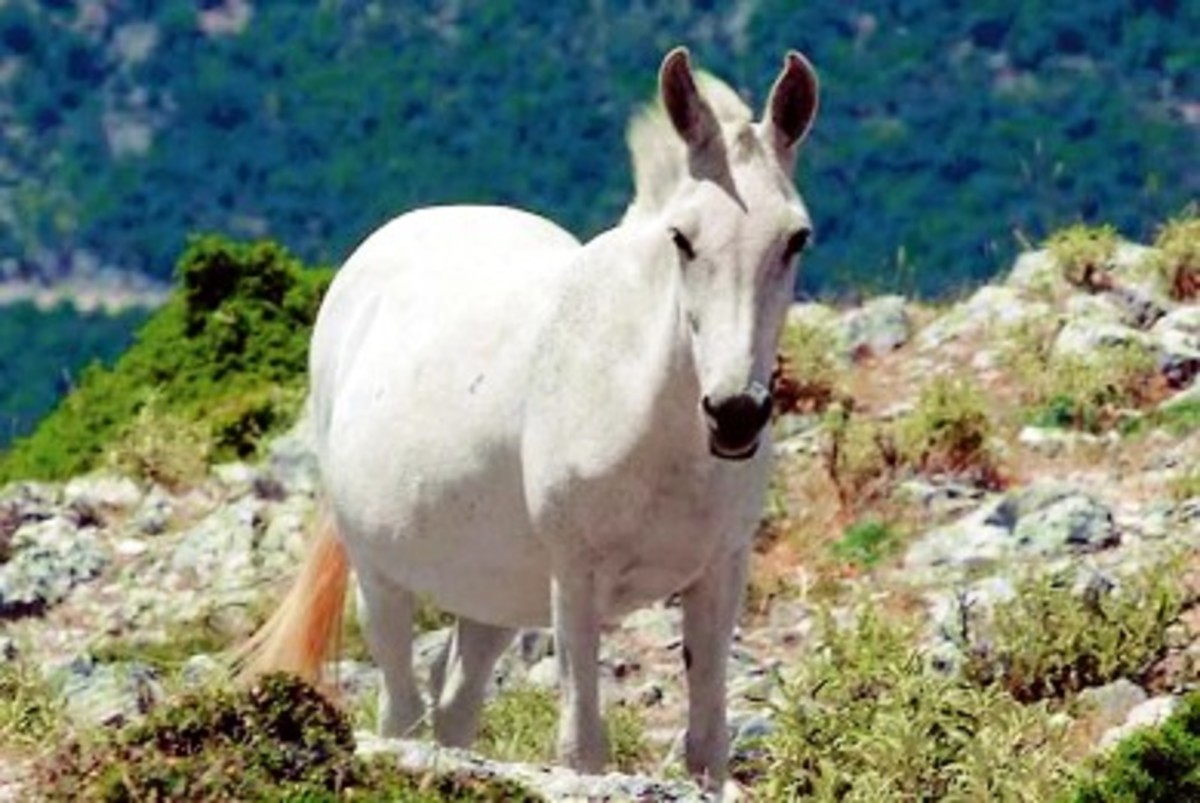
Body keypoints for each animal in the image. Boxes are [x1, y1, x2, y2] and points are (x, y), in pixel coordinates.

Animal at [241, 47, 825, 787]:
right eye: (682, 239)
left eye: (795, 238)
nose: (735, 415)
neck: (647, 418)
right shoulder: (575, 581)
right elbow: (582, 748)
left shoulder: (719, 574)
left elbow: (707, 746)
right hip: (381, 578)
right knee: (402, 711)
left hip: (492, 595)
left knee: (454, 705)